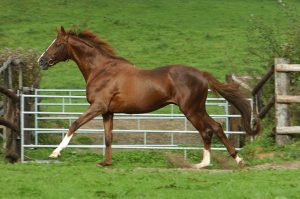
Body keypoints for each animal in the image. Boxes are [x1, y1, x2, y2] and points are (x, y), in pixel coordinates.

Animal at [37, 26, 258, 168]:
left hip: (191, 109)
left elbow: (74, 124)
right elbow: (108, 138)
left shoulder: (97, 106)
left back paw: (209, 163)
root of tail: (202, 74)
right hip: (197, 108)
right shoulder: (108, 112)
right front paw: (106, 163)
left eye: (58, 44)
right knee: (215, 128)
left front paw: (54, 153)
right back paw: (226, 161)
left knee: (209, 129)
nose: (41, 62)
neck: (101, 70)